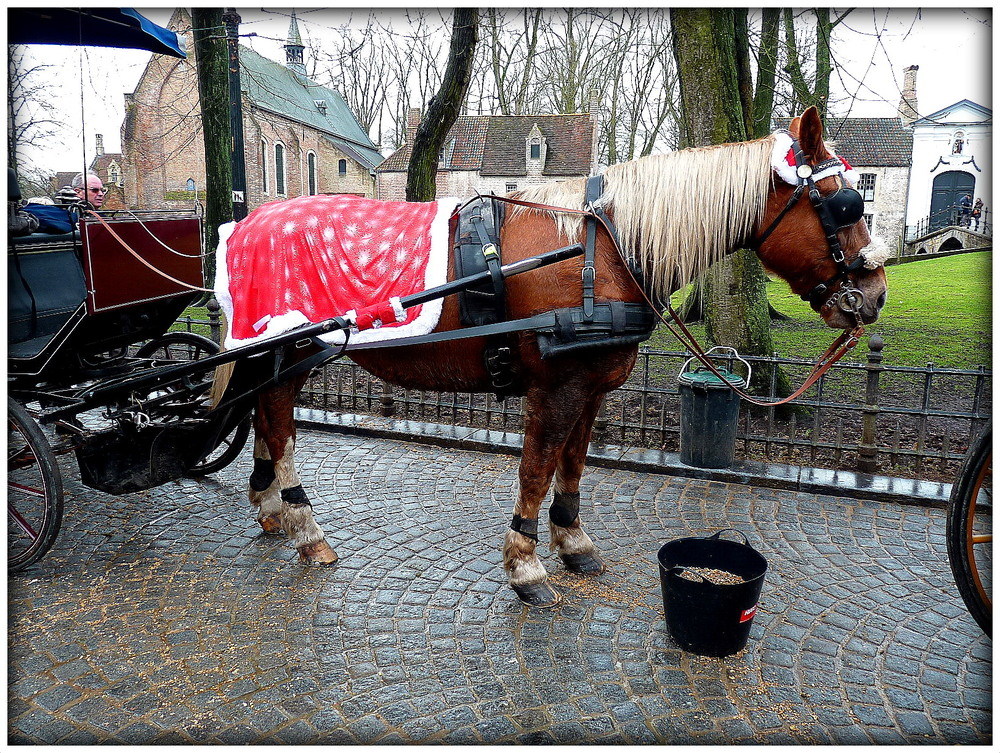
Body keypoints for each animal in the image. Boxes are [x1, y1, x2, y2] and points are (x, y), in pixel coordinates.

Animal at [215, 108, 888, 608]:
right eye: (846, 205)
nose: (876, 294)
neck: (602, 247)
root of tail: (246, 223)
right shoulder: (555, 387)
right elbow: (537, 469)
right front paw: (525, 564)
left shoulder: (590, 388)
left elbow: (572, 465)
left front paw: (572, 541)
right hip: (291, 352)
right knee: (279, 427)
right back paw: (306, 528)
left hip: (279, 357)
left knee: (266, 422)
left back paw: (272, 507)